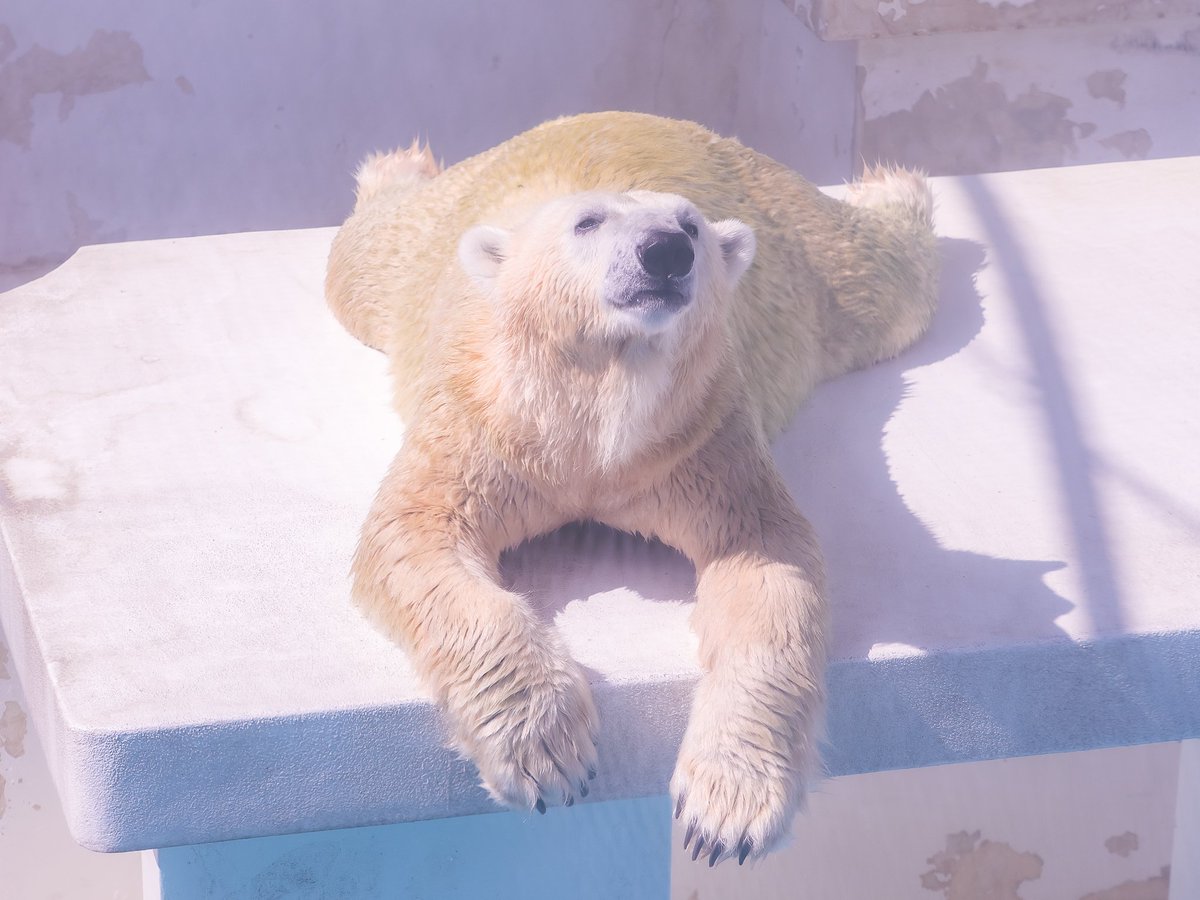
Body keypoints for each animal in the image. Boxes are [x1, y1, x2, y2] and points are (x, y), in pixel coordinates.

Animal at [325, 111, 938, 866]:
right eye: (587, 221)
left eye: (691, 224)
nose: (665, 250)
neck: (594, 411)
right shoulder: (481, 423)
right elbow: (415, 534)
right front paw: (548, 755)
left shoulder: (700, 436)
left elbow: (767, 561)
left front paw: (725, 811)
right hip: (417, 245)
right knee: (361, 254)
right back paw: (397, 167)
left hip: (805, 251)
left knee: (888, 277)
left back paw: (893, 184)